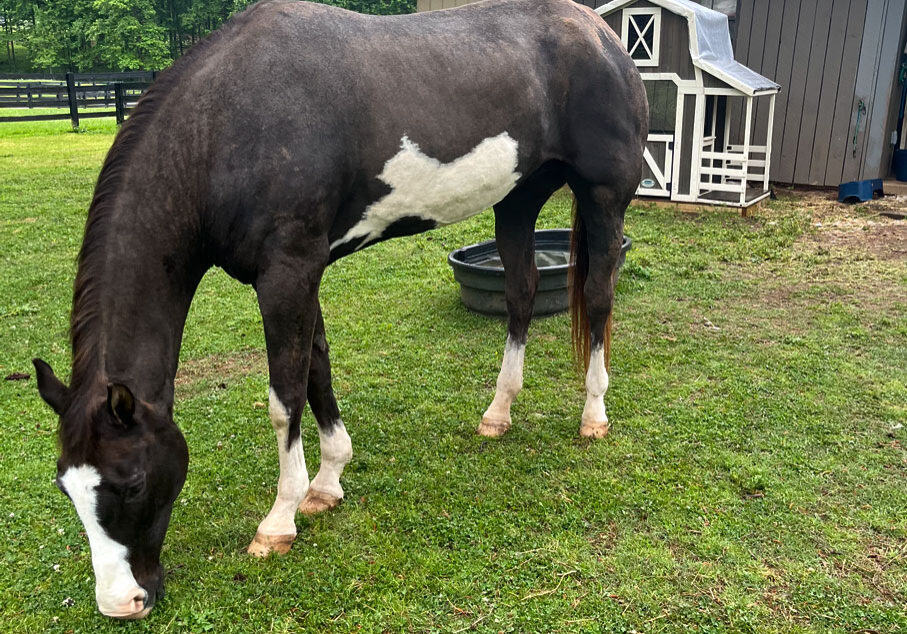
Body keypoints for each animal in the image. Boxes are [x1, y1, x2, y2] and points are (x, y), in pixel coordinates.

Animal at [32, 0, 647, 620]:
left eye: (132, 482)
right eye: (66, 488)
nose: (122, 602)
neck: (224, 126)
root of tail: (600, 33)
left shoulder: (286, 274)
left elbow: (284, 398)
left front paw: (278, 521)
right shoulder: (302, 274)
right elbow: (317, 371)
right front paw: (327, 484)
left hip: (603, 198)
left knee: (599, 299)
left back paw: (593, 415)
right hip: (519, 198)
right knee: (521, 295)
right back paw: (498, 413)